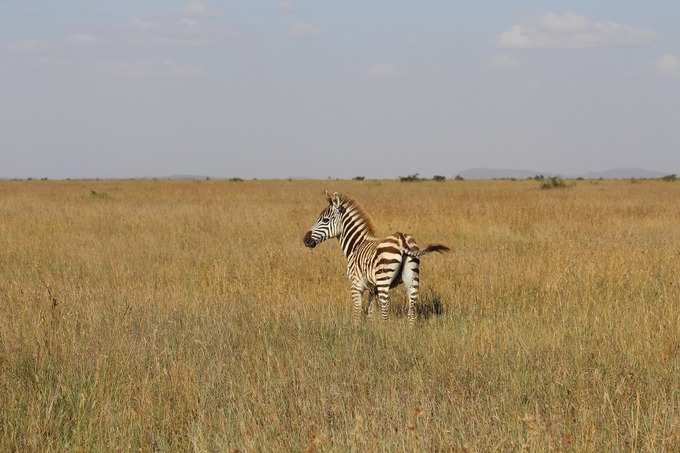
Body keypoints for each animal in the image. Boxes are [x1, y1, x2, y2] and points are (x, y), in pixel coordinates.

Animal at [304, 189, 452, 324]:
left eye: (325, 220)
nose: (306, 240)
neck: (356, 245)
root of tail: (402, 239)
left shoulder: (356, 284)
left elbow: (357, 312)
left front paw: (355, 331)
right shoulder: (372, 288)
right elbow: (370, 312)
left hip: (384, 280)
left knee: (385, 310)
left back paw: (385, 332)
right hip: (412, 278)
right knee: (412, 310)